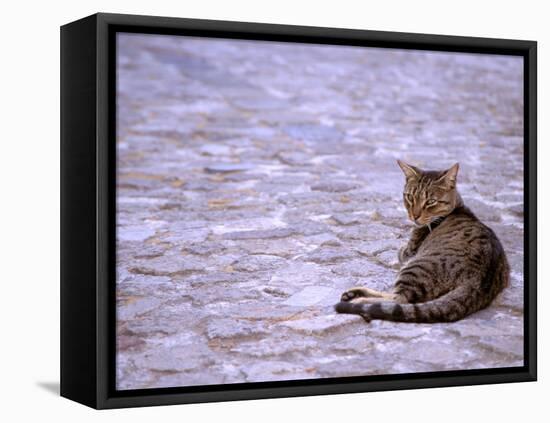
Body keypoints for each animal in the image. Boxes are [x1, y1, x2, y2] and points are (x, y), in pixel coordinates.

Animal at [336, 161, 512, 322]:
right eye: (410, 197)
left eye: (430, 201)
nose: (414, 215)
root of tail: (477, 282)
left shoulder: (408, 253)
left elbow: (400, 251)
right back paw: (353, 294)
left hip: (415, 267)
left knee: (399, 300)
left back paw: (359, 300)